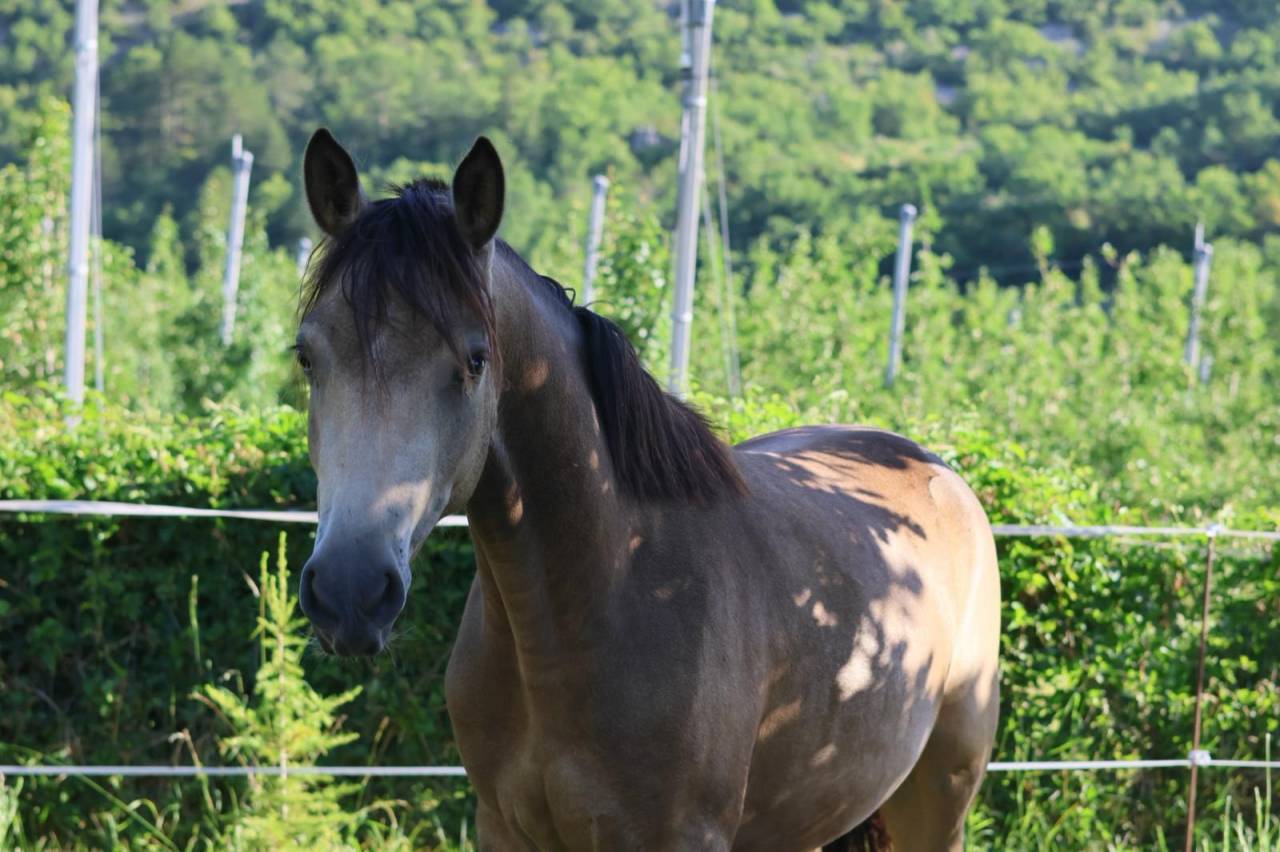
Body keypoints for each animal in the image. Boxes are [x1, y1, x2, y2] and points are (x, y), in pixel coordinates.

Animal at [295, 128, 1001, 851]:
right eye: (306, 355)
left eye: (474, 360)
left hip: (942, 793)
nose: (350, 590)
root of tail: (933, 468)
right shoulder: (503, 829)